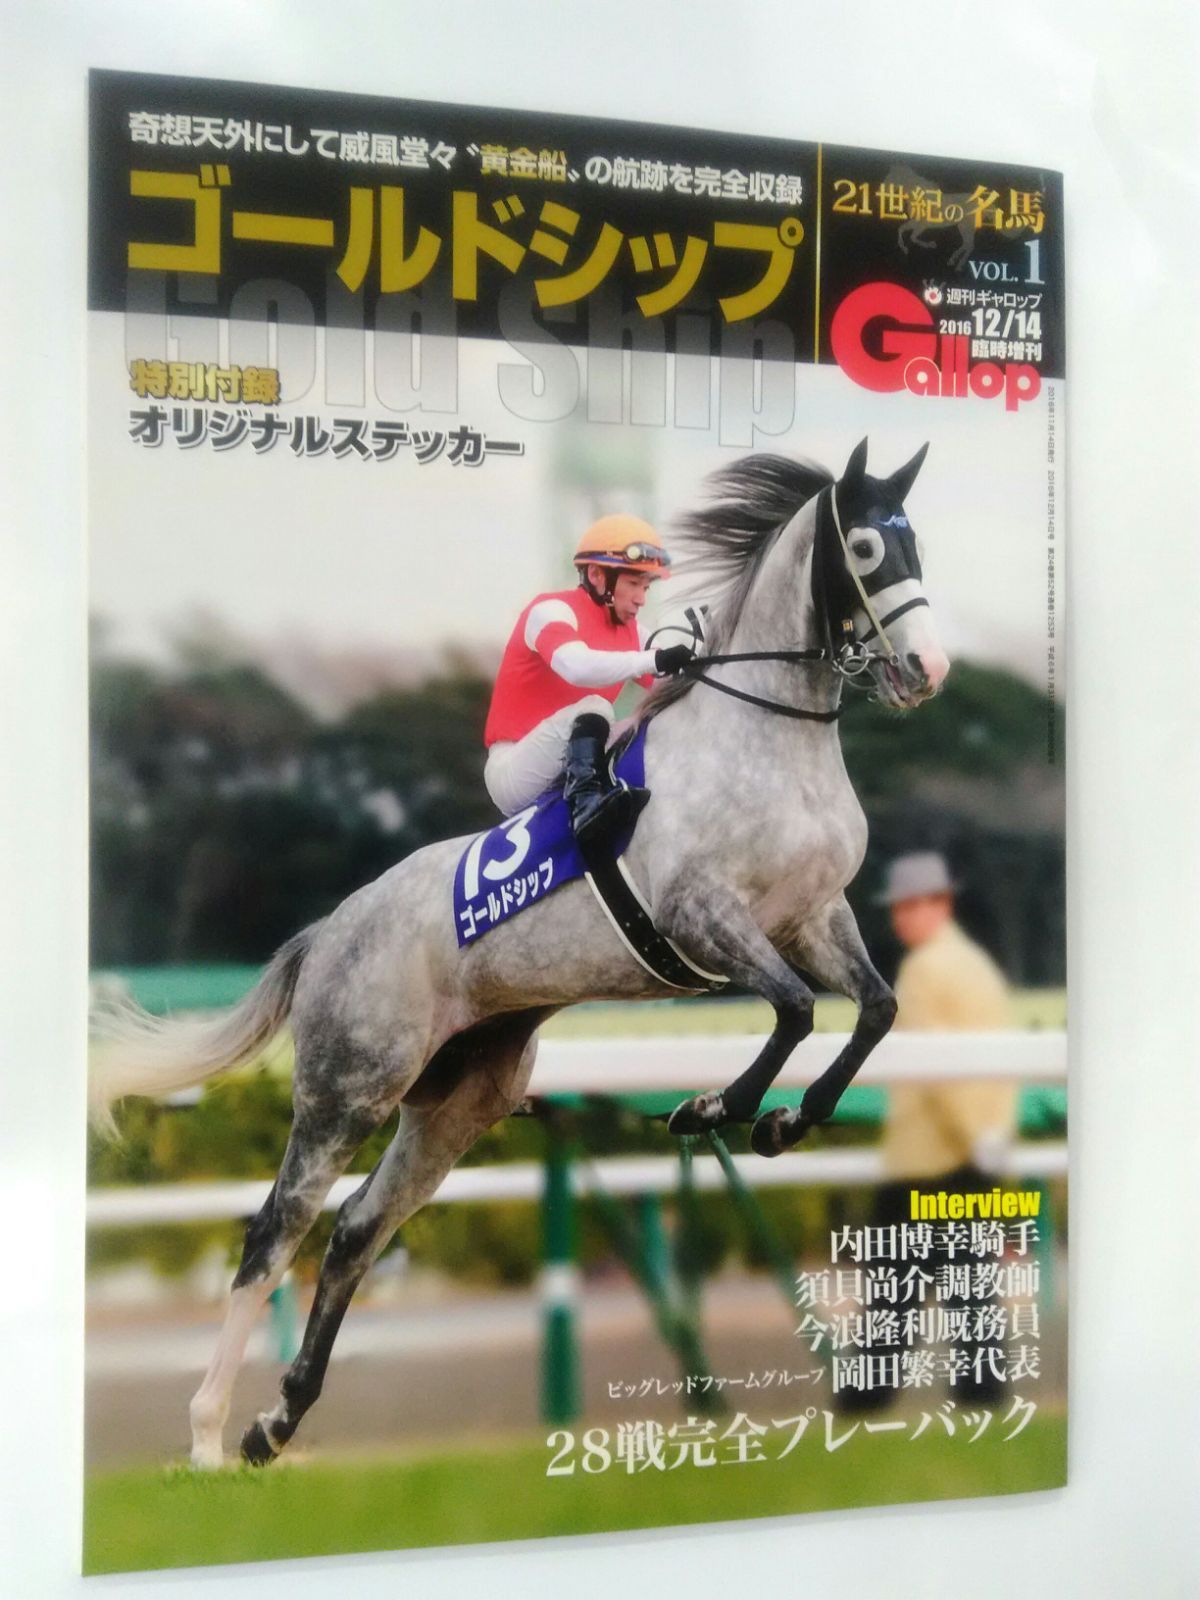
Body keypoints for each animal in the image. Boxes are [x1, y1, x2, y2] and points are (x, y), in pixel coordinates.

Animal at [90, 436, 949, 1470]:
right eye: (864, 547)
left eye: (918, 540)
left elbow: (875, 1010)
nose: (928, 668)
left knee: (356, 1230)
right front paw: (713, 1106)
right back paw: (210, 1434)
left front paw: (787, 1120)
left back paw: (278, 1420)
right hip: (349, 1086)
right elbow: (793, 1010)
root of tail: (330, 929)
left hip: (459, 1101)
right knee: (274, 1233)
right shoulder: (706, 916)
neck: (768, 737)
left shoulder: (815, 918)